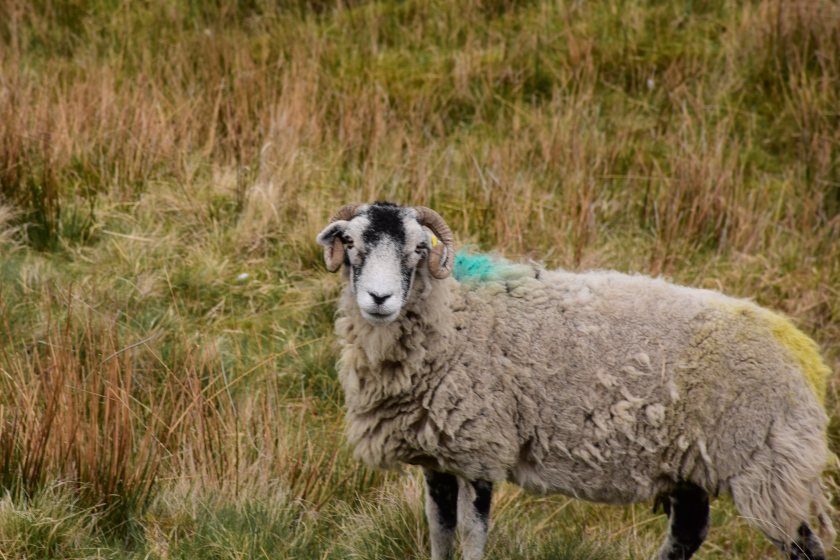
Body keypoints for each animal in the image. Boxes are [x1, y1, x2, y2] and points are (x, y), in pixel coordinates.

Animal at [316, 201, 832, 560]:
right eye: (352, 244)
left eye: (418, 249)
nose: (379, 298)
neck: (455, 317)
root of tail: (804, 354)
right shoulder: (438, 457)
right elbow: (439, 535)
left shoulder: (483, 448)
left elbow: (472, 535)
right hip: (693, 465)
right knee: (688, 531)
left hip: (767, 466)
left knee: (803, 545)